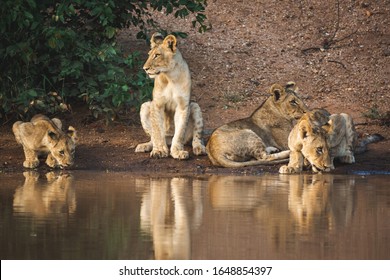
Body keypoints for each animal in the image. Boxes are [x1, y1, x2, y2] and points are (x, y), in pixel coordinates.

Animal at [135, 32, 206, 160]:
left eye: (157, 55)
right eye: (149, 55)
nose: (145, 69)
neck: (170, 77)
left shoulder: (183, 106)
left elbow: (179, 133)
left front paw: (177, 152)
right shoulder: (157, 104)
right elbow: (157, 131)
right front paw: (159, 151)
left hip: (195, 106)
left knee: (197, 137)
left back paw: (199, 148)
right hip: (145, 106)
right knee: (153, 137)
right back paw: (145, 146)